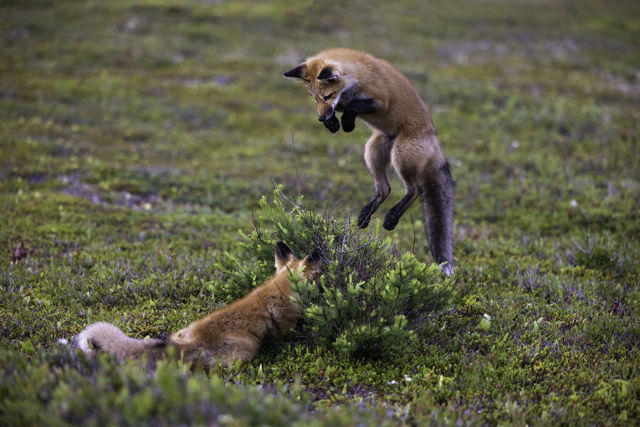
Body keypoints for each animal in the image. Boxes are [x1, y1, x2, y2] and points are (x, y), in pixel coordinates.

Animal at [284, 48, 454, 276]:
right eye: (314, 98)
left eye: (327, 96)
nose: (320, 119)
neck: (355, 81)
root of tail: (434, 139)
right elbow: (343, 107)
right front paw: (333, 123)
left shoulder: (380, 100)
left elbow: (355, 105)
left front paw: (346, 121)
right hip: (372, 151)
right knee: (385, 188)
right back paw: (365, 216)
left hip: (401, 155)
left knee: (414, 190)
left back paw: (391, 218)